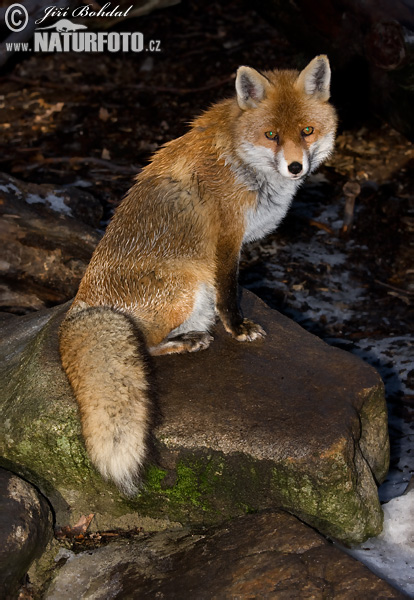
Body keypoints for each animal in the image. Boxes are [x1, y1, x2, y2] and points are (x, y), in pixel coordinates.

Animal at [57, 57, 336, 496]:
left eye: (306, 131)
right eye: (271, 135)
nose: (296, 167)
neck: (241, 160)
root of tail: (79, 309)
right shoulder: (225, 241)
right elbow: (229, 294)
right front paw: (238, 329)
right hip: (187, 288)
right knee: (143, 346)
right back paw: (187, 341)